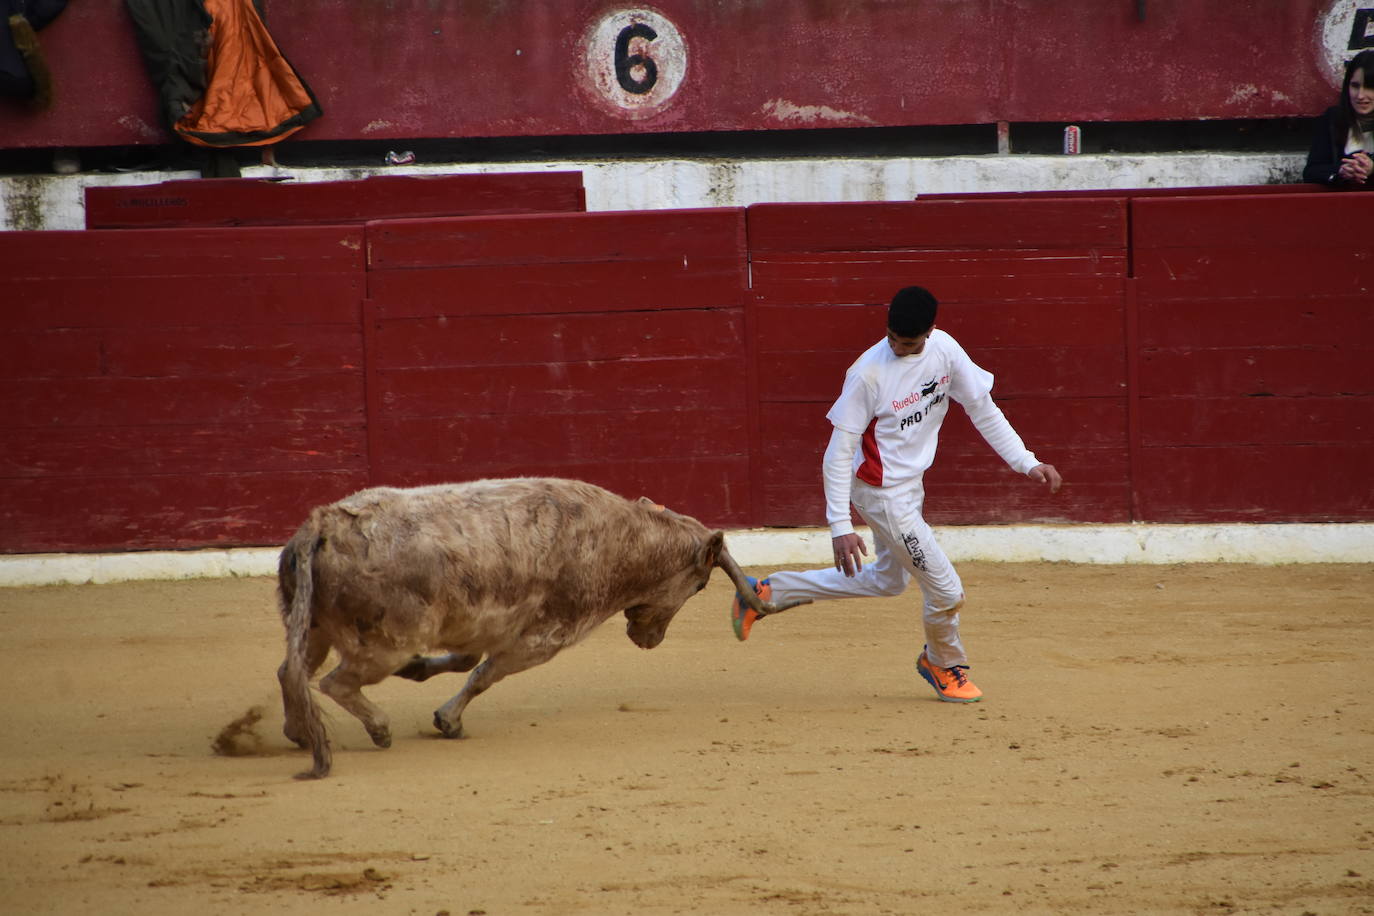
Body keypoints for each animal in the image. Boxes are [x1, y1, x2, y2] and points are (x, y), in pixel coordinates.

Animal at [276, 477, 802, 780]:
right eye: (699, 584)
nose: (649, 640)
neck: (622, 541)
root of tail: (321, 522)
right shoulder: (543, 639)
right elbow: (483, 675)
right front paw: (448, 720)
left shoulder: (482, 626)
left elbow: (466, 662)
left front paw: (422, 674)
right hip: (382, 643)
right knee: (333, 681)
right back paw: (379, 729)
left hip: (314, 627)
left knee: (291, 672)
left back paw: (299, 732)